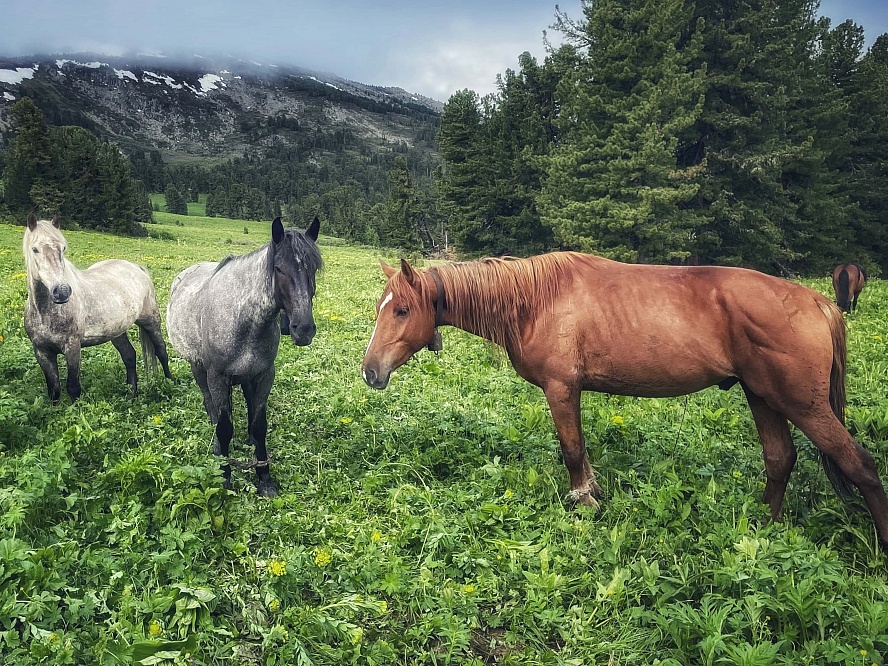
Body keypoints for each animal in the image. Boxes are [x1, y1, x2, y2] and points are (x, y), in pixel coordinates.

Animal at [22, 214, 173, 400]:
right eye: (35, 249)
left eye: (63, 248)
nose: (62, 291)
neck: (45, 313)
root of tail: (136, 267)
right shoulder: (42, 352)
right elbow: (54, 390)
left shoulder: (73, 348)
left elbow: (73, 387)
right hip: (117, 331)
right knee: (129, 356)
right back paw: (131, 394)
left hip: (150, 321)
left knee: (161, 351)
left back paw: (170, 383)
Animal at [166, 215, 322, 496]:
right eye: (279, 269)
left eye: (313, 268)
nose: (303, 329)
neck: (244, 320)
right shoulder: (217, 377)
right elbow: (224, 427)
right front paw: (225, 474)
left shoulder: (263, 375)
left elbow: (259, 426)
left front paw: (264, 478)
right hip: (198, 367)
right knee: (210, 404)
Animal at [360, 252, 888, 548]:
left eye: (401, 310)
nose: (370, 371)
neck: (536, 300)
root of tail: (817, 302)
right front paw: (593, 492)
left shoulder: (561, 389)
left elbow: (572, 450)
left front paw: (585, 502)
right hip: (763, 397)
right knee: (780, 459)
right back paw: (763, 528)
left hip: (804, 405)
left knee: (860, 464)